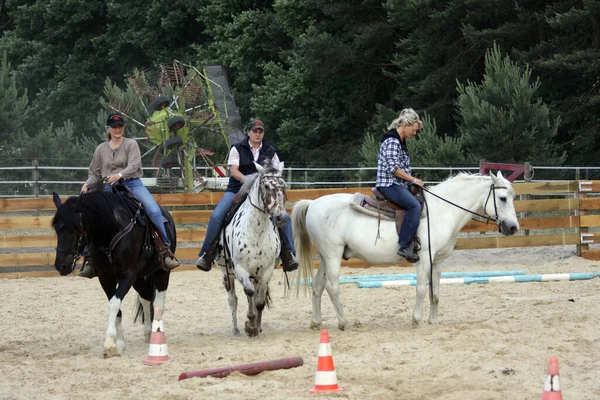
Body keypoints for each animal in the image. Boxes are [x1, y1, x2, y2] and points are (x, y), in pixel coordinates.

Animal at [51, 189, 176, 358]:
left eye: (75, 228)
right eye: (56, 228)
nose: (61, 265)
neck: (111, 231)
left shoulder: (127, 276)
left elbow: (114, 303)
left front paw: (109, 344)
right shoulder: (106, 277)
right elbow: (115, 308)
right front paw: (119, 343)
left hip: (162, 272)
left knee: (158, 303)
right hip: (138, 278)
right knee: (146, 297)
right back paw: (148, 332)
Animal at [216, 161, 288, 336]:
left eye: (284, 185)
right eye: (267, 186)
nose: (280, 218)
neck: (256, 232)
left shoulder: (267, 271)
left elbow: (259, 301)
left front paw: (256, 326)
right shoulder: (241, 269)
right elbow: (248, 293)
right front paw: (250, 324)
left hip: (256, 274)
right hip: (227, 274)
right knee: (233, 300)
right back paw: (236, 329)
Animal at [292, 170, 520, 330]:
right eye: (502, 198)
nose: (513, 227)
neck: (441, 210)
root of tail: (312, 203)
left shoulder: (438, 261)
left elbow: (435, 292)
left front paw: (433, 320)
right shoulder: (425, 258)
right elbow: (421, 289)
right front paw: (416, 320)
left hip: (326, 256)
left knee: (317, 286)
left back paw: (316, 322)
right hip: (333, 256)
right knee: (332, 287)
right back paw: (344, 322)